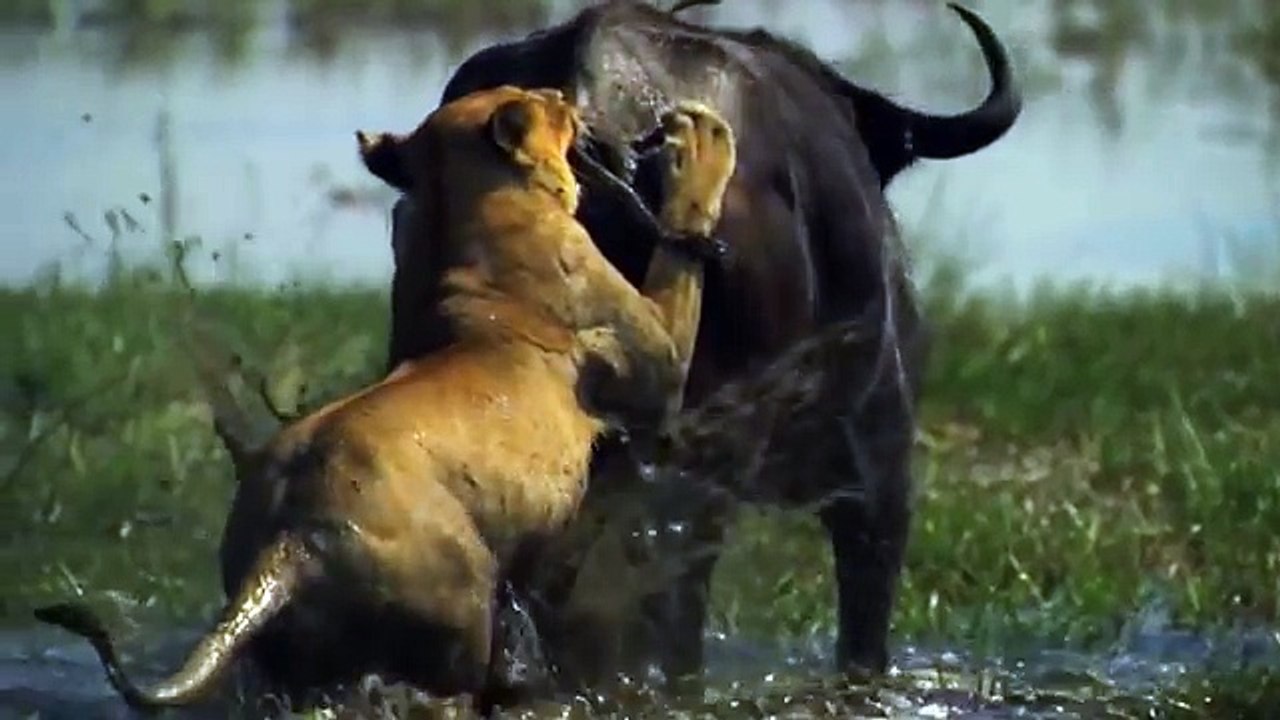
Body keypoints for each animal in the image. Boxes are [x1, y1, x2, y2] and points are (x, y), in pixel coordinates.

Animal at [32, 85, 738, 711]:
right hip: (457, 620)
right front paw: (701, 145)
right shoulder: (658, 369)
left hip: (300, 661)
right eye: (553, 101)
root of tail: (291, 539)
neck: (464, 215)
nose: (578, 104)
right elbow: (679, 256)